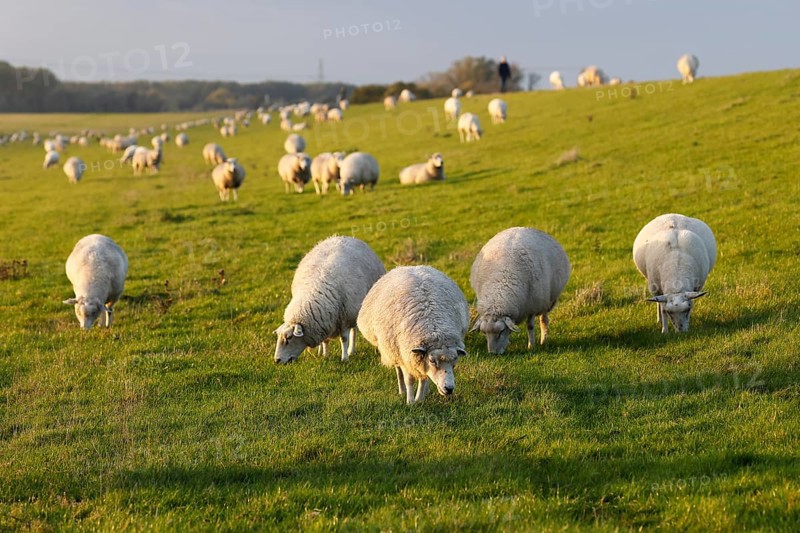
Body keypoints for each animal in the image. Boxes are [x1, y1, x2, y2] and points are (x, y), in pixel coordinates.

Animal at [357, 265, 469, 405]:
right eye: (432, 361)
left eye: (455, 361)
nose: (449, 389)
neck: (432, 325)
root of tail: (409, 267)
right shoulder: (406, 356)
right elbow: (409, 379)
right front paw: (410, 402)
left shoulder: (418, 359)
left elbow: (423, 378)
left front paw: (420, 398)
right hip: (394, 350)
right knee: (398, 371)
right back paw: (402, 390)